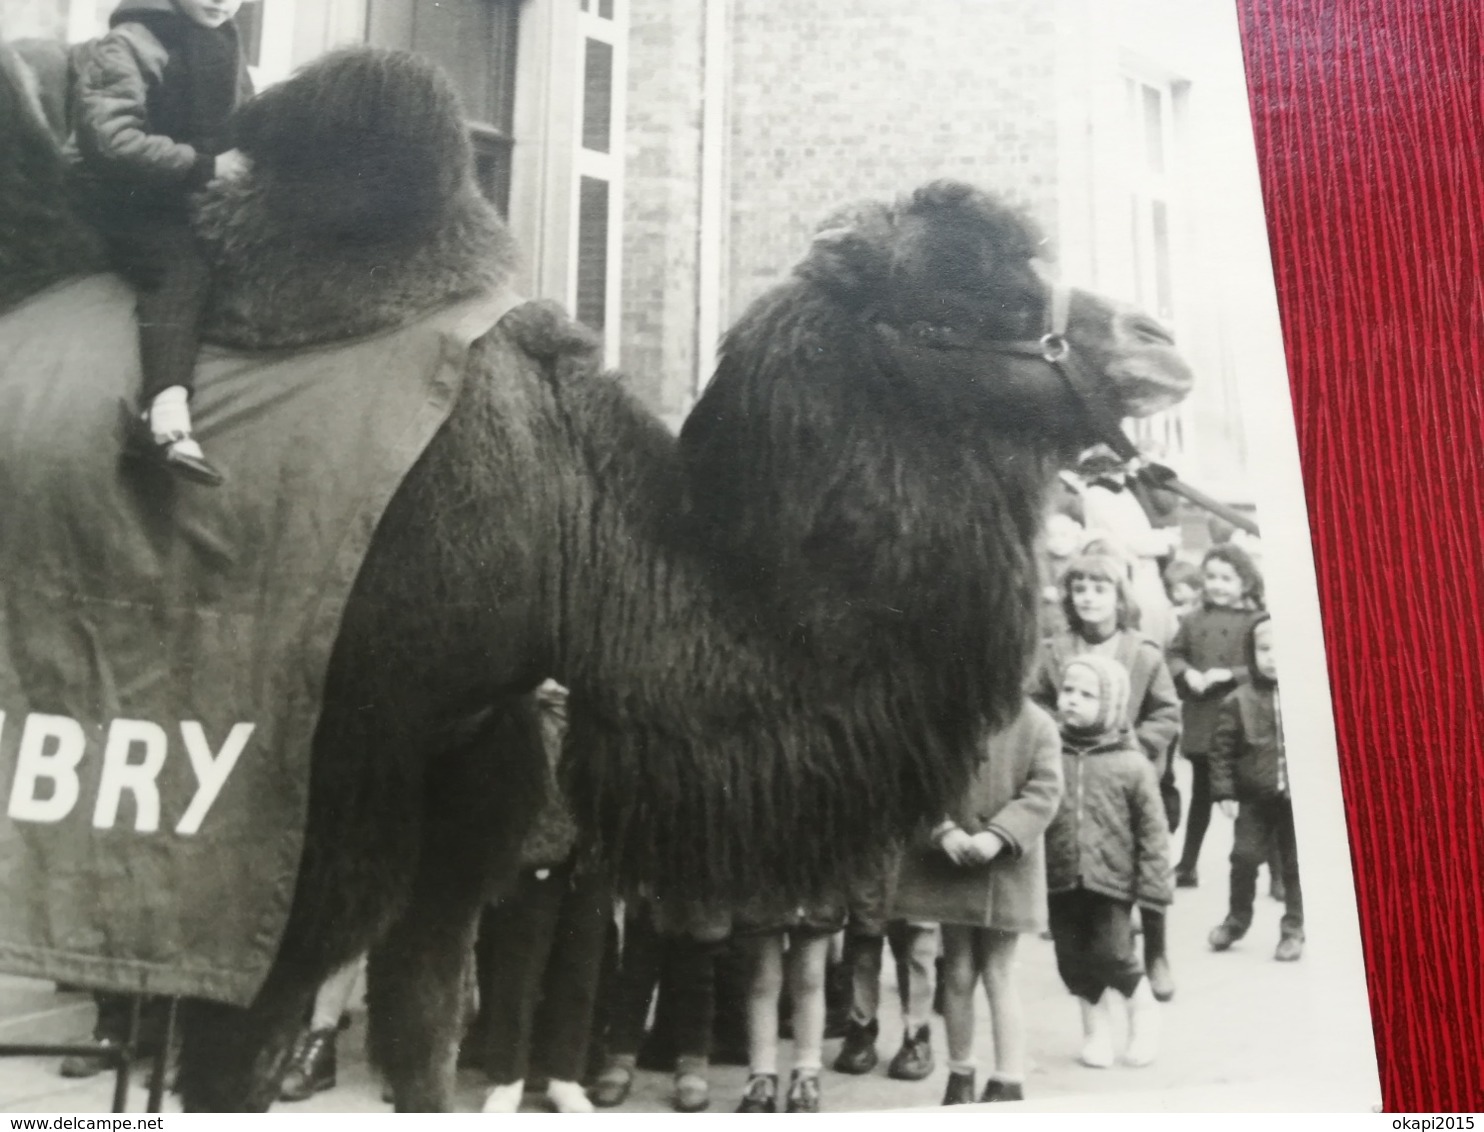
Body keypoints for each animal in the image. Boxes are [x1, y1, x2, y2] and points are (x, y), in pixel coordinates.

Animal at [0, 42, 1187, 1109]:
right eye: (953, 314)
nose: (1158, 341)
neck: (563, 536)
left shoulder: (468, 755)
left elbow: (426, 1025)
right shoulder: (294, 804)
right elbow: (237, 1055)